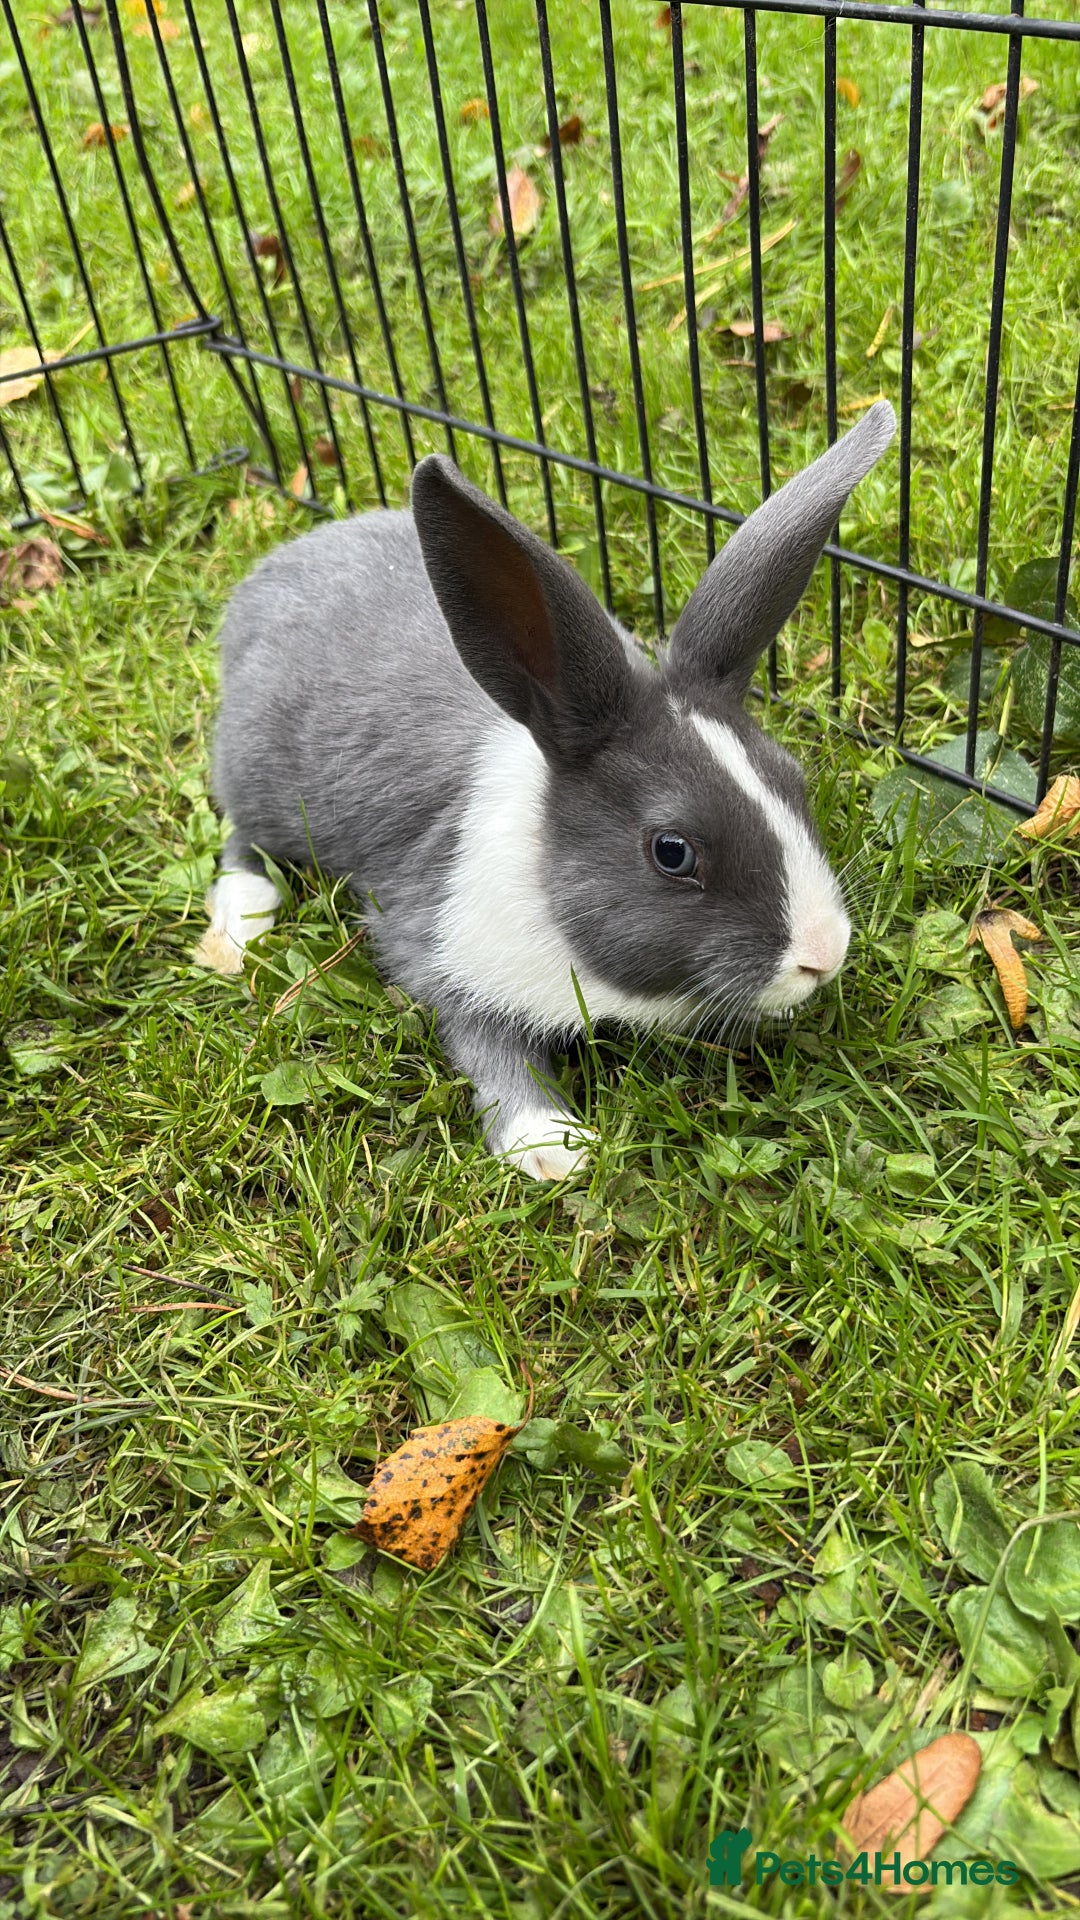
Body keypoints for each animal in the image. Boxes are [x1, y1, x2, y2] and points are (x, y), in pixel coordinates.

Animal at [196, 399, 895, 1179]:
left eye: (794, 780)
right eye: (672, 851)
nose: (824, 955)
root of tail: (268, 576)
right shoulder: (440, 946)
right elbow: (490, 1047)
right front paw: (554, 1148)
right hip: (261, 779)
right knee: (240, 836)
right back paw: (242, 922)